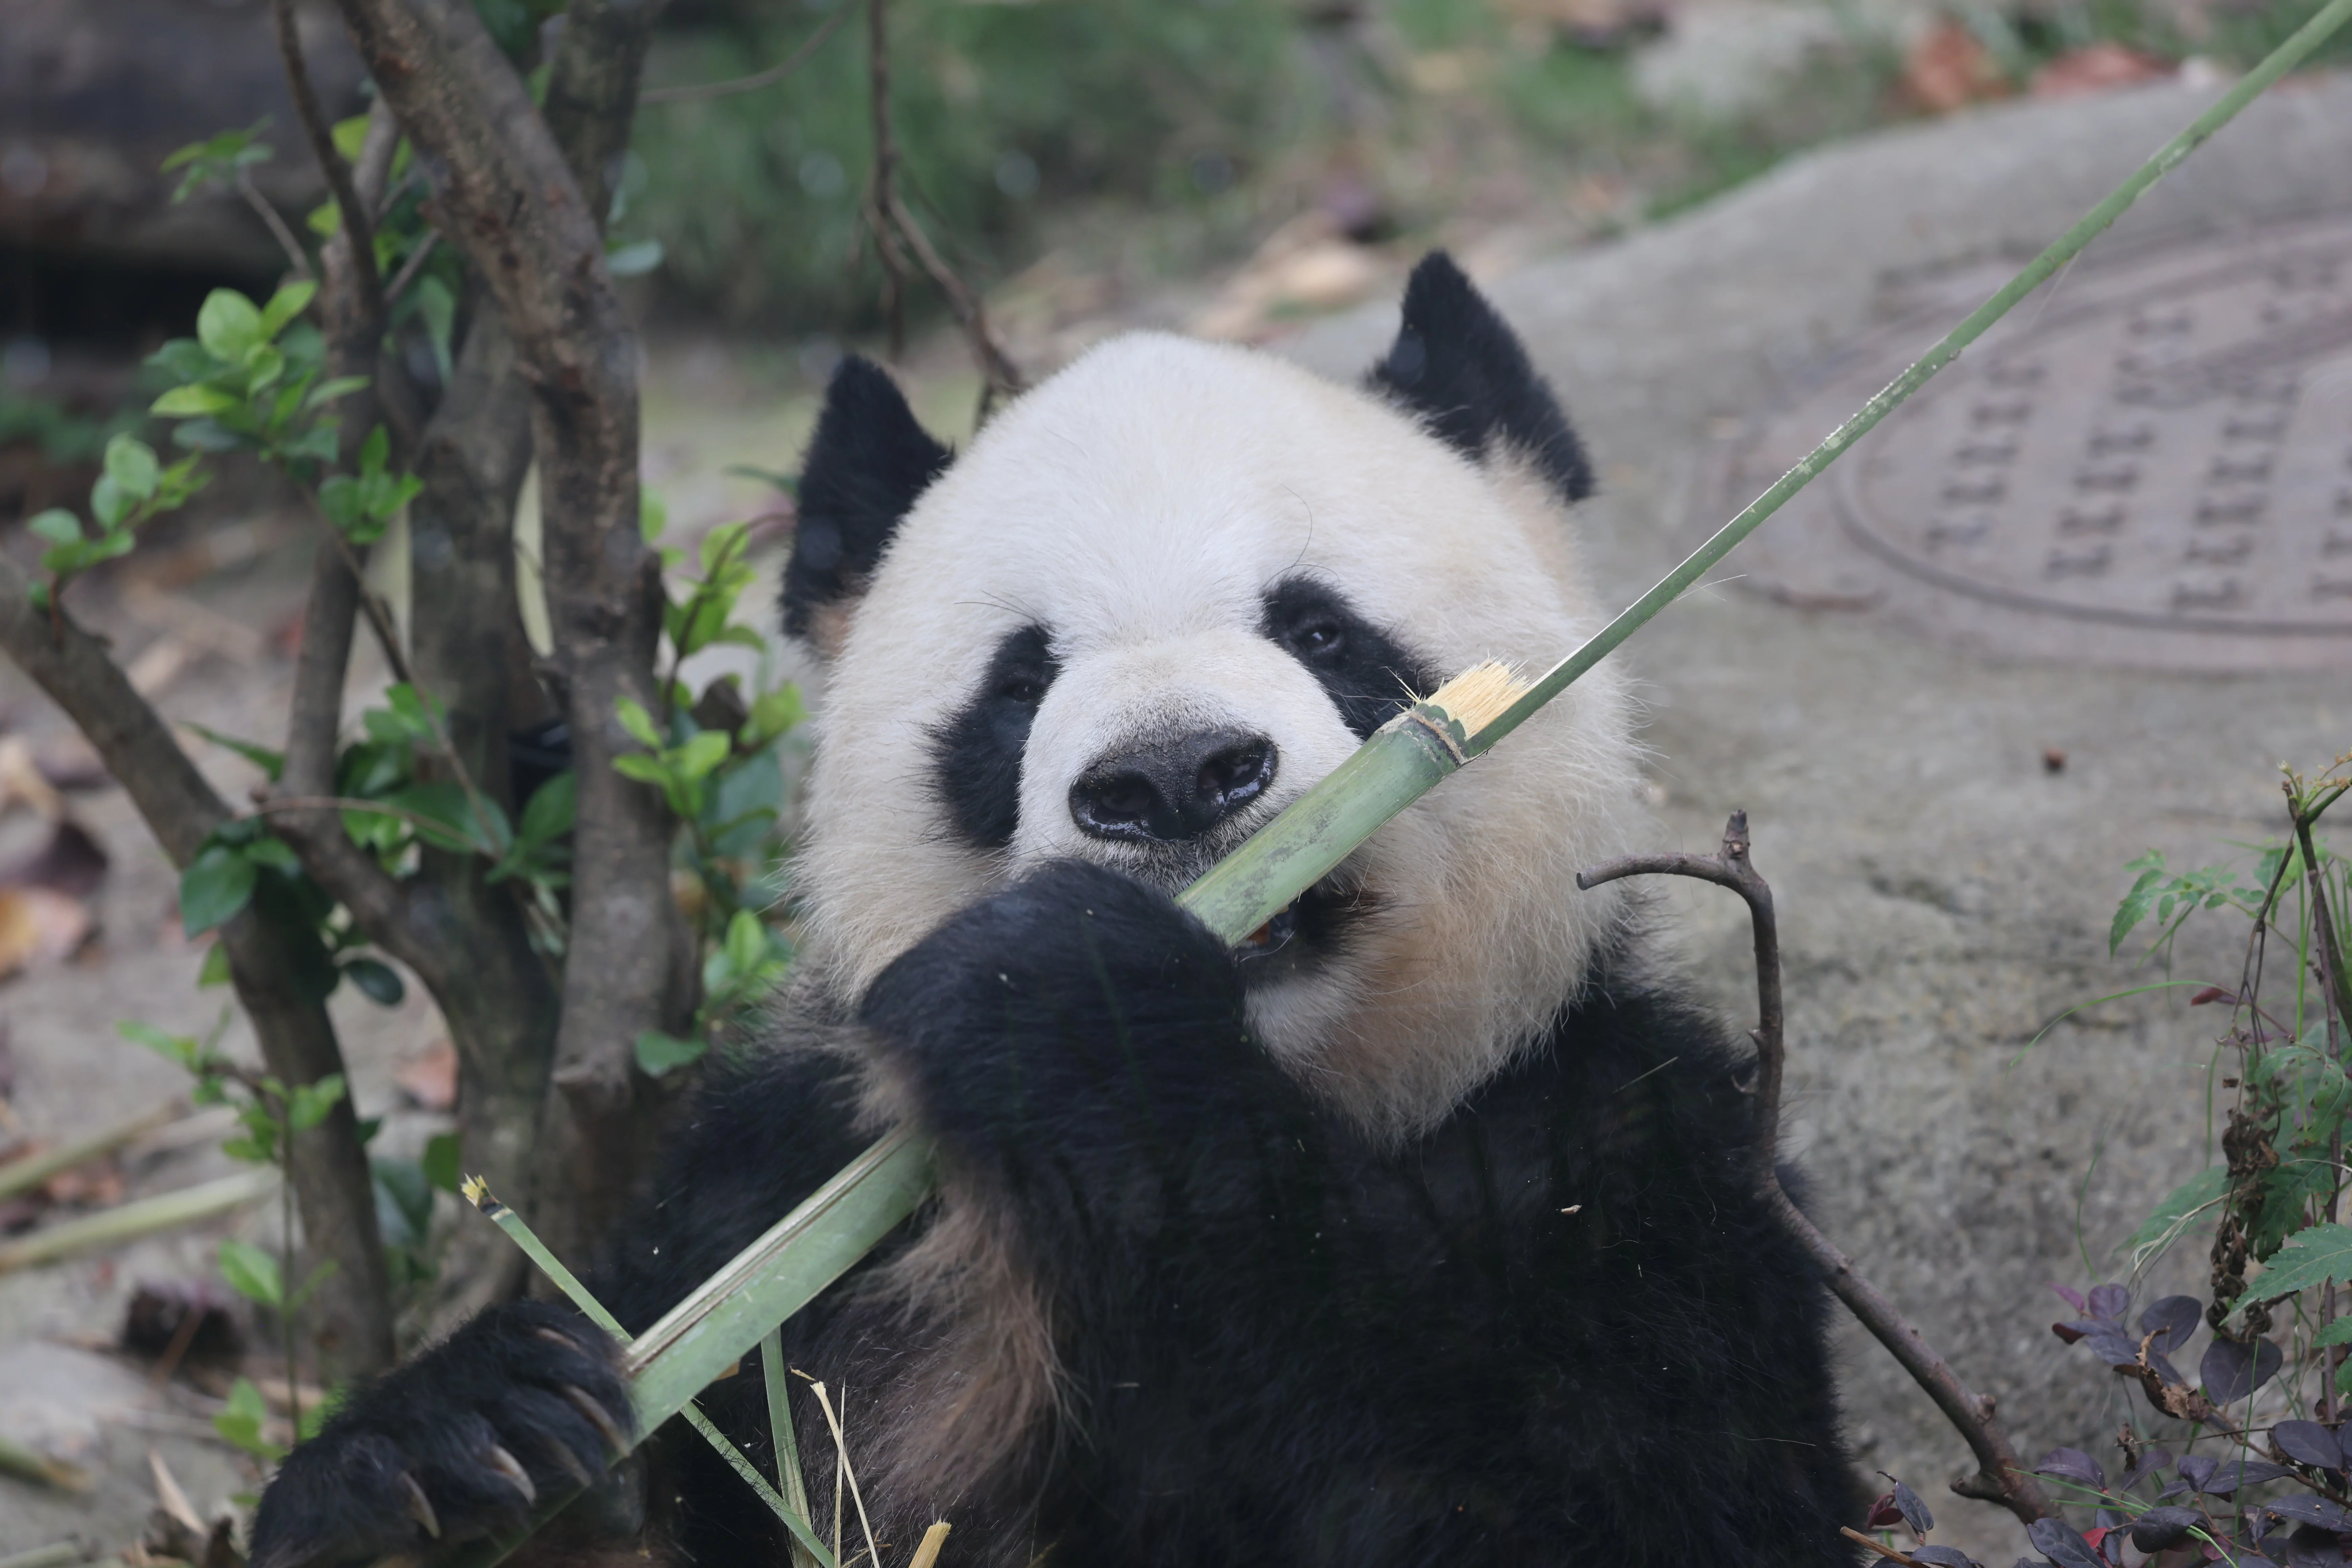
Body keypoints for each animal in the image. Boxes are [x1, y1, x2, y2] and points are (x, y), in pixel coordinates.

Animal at [251, 255, 1860, 1568]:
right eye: (1018, 681)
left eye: (1321, 630)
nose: (1171, 777)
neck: (1316, 1089)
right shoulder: (787, 1192)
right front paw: (446, 1442)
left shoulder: (1615, 1152)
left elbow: (1603, 1501)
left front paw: (1082, 1019)